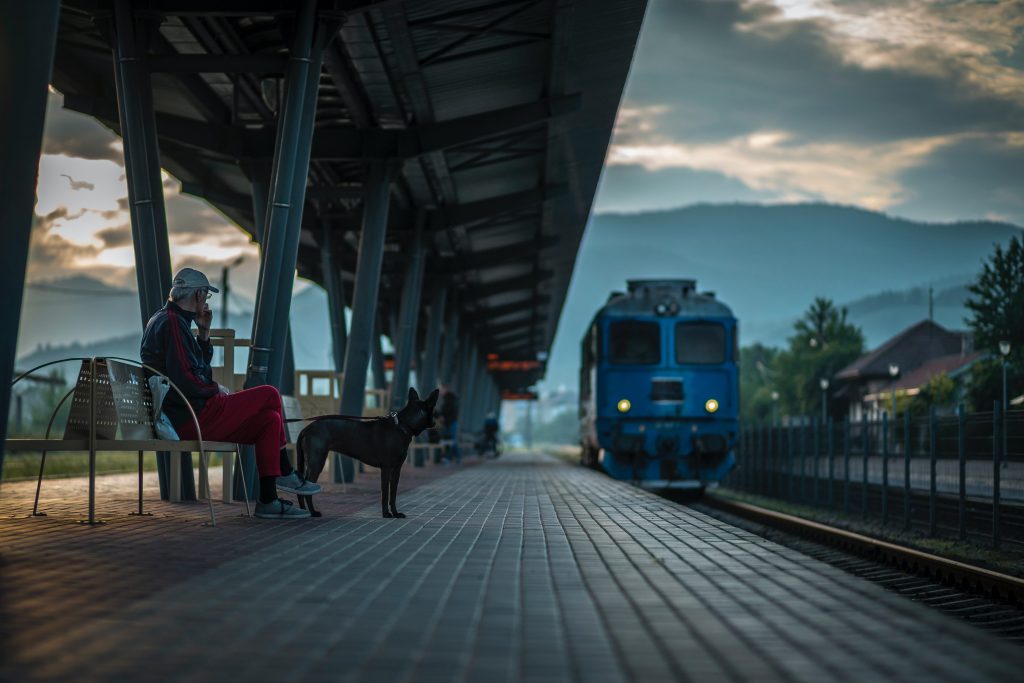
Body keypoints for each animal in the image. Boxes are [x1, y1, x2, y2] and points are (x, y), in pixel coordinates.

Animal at [296, 389, 440, 518]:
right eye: (433, 410)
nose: (435, 422)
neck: (402, 426)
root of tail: (305, 429)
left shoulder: (396, 469)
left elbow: (393, 494)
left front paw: (395, 513)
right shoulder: (386, 468)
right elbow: (385, 493)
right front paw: (386, 514)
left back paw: (304, 511)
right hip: (317, 462)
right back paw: (312, 512)